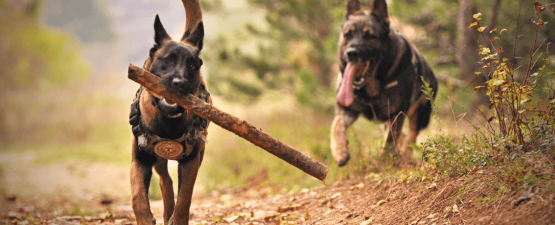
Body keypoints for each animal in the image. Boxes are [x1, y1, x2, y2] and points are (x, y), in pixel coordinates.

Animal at [128, 0, 211, 224]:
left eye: (192, 65)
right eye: (168, 60)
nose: (179, 83)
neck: (169, 121)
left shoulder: (191, 161)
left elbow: (185, 199)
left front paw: (178, 218)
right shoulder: (140, 160)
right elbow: (138, 196)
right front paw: (145, 218)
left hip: (199, 154)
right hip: (157, 159)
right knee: (165, 181)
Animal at [330, 0, 438, 165]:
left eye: (369, 36)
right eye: (347, 35)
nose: (351, 53)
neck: (370, 89)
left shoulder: (396, 115)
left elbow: (389, 143)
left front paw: (384, 162)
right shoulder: (347, 110)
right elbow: (335, 125)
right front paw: (340, 151)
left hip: (419, 116)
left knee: (411, 136)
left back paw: (404, 156)